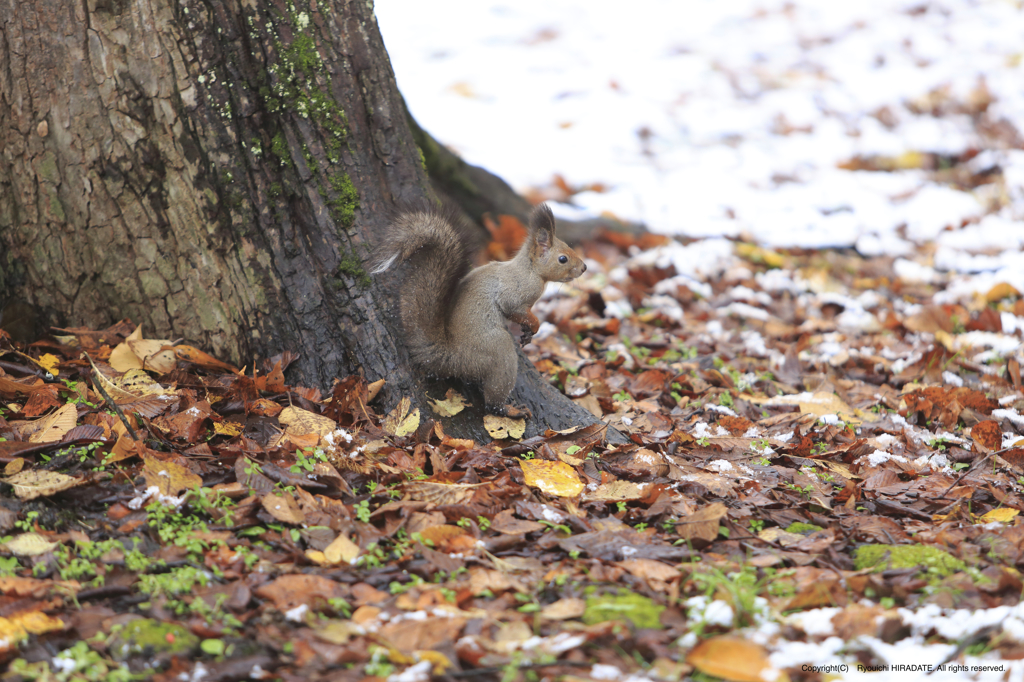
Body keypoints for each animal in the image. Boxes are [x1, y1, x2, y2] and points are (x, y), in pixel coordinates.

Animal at [372, 201, 589, 413]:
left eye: (568, 246)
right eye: (563, 259)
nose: (584, 267)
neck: (530, 270)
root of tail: (452, 358)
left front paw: (528, 334)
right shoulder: (513, 295)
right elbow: (515, 310)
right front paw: (535, 324)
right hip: (498, 351)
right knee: (493, 403)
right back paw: (510, 410)